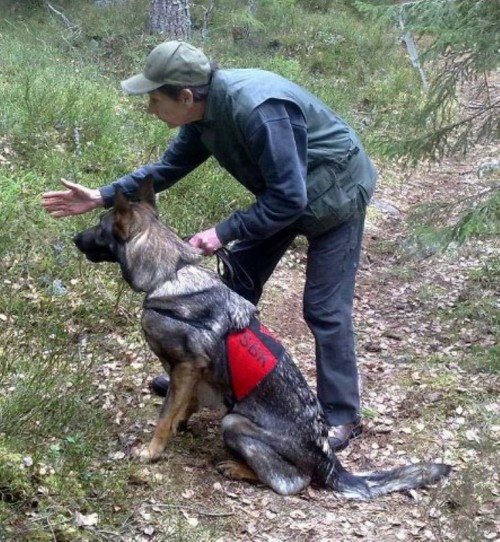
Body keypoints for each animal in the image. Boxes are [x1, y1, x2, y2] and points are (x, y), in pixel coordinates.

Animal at [72, 178, 452, 502]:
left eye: (100, 227)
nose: (74, 238)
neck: (171, 273)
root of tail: (331, 464)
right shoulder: (192, 373)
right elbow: (184, 405)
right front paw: (181, 424)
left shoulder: (186, 366)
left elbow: (165, 417)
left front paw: (152, 451)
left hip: (234, 423)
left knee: (293, 482)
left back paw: (236, 468)